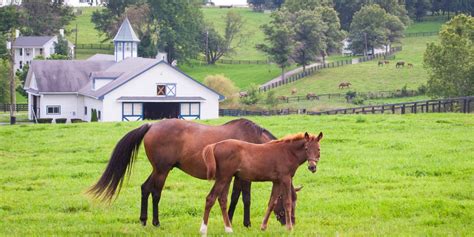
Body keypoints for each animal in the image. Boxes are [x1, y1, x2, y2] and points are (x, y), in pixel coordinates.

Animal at [86, 118, 292, 228]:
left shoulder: (235, 177)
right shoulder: (245, 177)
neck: (254, 142)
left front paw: (230, 220)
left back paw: (144, 220)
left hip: (158, 170)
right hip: (162, 171)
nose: (289, 222)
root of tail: (151, 126)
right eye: (290, 201)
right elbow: (245, 198)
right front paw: (246, 223)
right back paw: (156, 222)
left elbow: (234, 198)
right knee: (155, 193)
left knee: (145, 188)